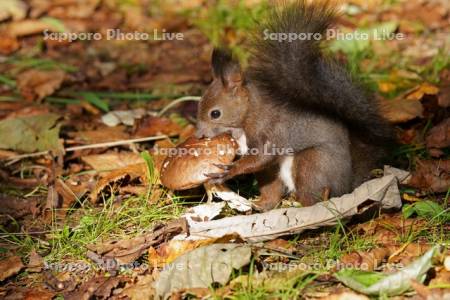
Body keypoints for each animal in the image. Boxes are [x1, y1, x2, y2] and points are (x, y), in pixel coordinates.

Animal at [193, 0, 394, 211]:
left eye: (215, 113)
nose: (198, 135)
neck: (250, 112)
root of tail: (347, 185)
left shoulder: (270, 129)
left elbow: (262, 156)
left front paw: (229, 171)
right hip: (275, 173)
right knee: (273, 191)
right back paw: (262, 205)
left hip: (311, 163)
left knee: (313, 196)